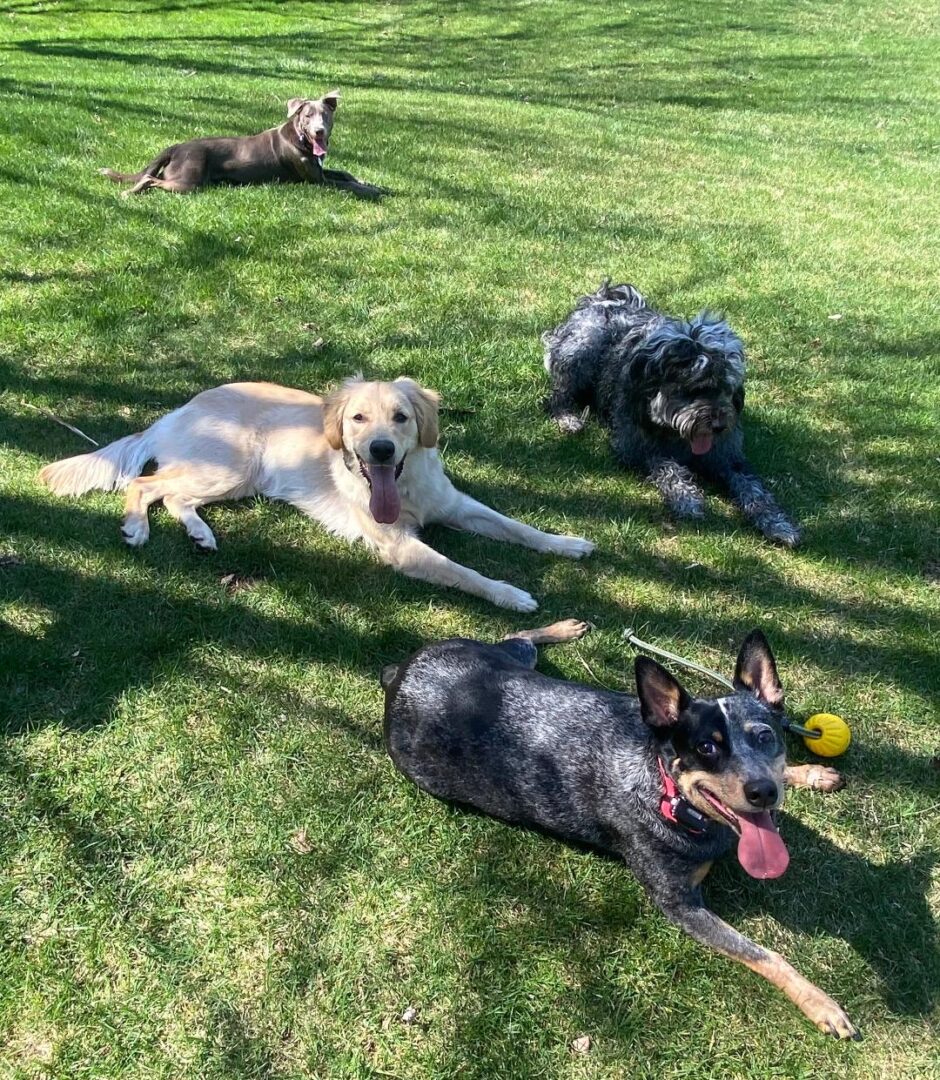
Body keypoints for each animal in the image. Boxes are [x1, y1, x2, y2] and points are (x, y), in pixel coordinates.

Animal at [40, 378, 596, 617]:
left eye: (401, 418)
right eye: (358, 418)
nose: (380, 448)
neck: (403, 486)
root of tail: (180, 408)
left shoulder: (456, 506)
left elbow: (518, 527)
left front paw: (566, 544)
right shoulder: (400, 546)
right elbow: (464, 572)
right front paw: (511, 594)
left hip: (239, 479)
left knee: (176, 497)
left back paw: (200, 534)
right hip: (231, 466)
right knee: (147, 484)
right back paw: (137, 527)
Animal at [99, 90, 386, 198]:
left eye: (325, 115)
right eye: (307, 116)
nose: (319, 132)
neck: (301, 138)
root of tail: (177, 146)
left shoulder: (321, 170)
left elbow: (346, 173)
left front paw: (369, 182)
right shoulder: (318, 182)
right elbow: (346, 184)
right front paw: (373, 190)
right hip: (188, 182)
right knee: (150, 179)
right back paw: (131, 192)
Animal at [384, 617, 860, 1036]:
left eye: (764, 736)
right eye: (706, 748)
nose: (763, 791)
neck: (663, 784)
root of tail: (398, 675)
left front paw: (808, 773)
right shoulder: (680, 905)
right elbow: (768, 955)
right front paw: (821, 1004)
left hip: (521, 661)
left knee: (519, 636)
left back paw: (564, 627)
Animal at [544, 280, 803, 544]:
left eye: (726, 387)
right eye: (695, 389)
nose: (718, 426)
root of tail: (606, 298)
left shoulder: (728, 456)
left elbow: (754, 489)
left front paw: (777, 523)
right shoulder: (635, 448)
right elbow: (668, 466)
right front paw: (686, 497)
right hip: (584, 346)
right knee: (558, 395)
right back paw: (567, 418)